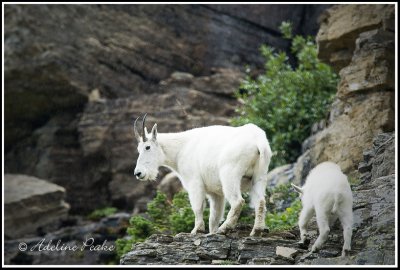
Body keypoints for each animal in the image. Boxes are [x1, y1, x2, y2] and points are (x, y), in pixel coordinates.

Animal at [134, 114, 272, 236]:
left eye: (147, 147)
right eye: (138, 149)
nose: (138, 173)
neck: (180, 149)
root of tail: (259, 142)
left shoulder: (194, 182)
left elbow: (198, 206)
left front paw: (197, 230)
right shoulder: (215, 193)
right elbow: (214, 216)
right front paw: (211, 232)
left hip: (230, 174)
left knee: (238, 201)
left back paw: (225, 228)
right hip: (260, 175)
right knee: (260, 201)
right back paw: (256, 231)